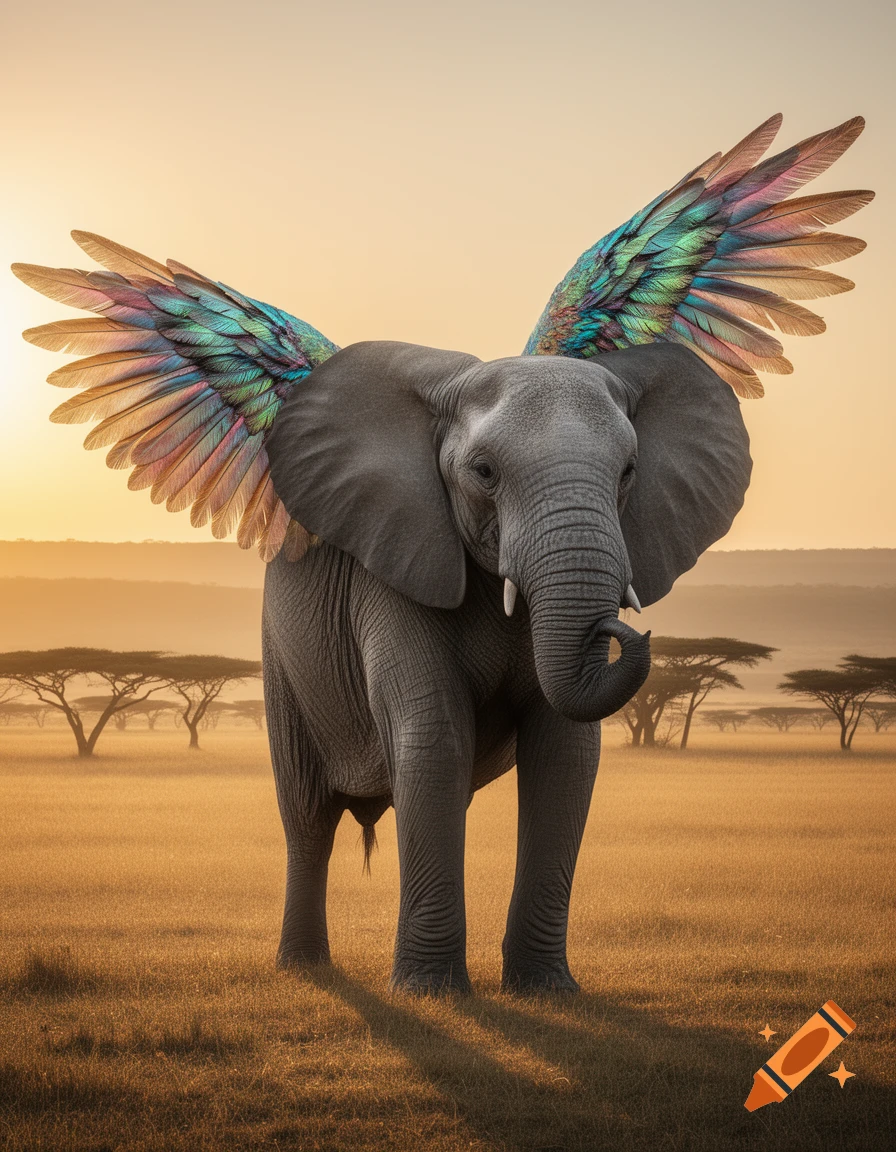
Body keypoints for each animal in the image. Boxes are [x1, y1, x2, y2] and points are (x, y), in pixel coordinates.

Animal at [263, 338, 751, 993]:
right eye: (484, 473)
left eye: (628, 472)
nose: (620, 627)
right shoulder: (395, 567)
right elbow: (435, 742)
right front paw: (430, 992)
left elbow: (565, 754)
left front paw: (547, 990)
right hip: (282, 660)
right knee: (308, 817)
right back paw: (303, 967)